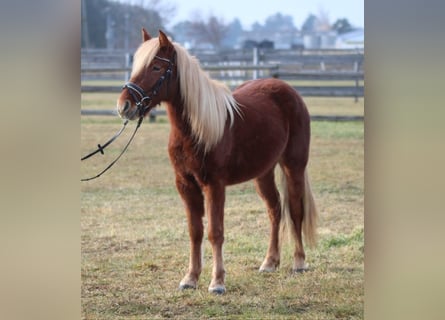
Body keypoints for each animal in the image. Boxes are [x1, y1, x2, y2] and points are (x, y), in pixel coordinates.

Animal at [116, 28, 318, 294]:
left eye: (157, 67)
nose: (124, 106)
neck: (196, 130)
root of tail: (288, 90)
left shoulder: (214, 185)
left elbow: (215, 232)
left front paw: (218, 282)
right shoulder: (186, 185)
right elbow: (195, 231)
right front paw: (190, 278)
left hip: (294, 166)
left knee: (295, 211)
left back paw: (299, 262)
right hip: (263, 172)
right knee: (275, 209)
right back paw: (269, 262)